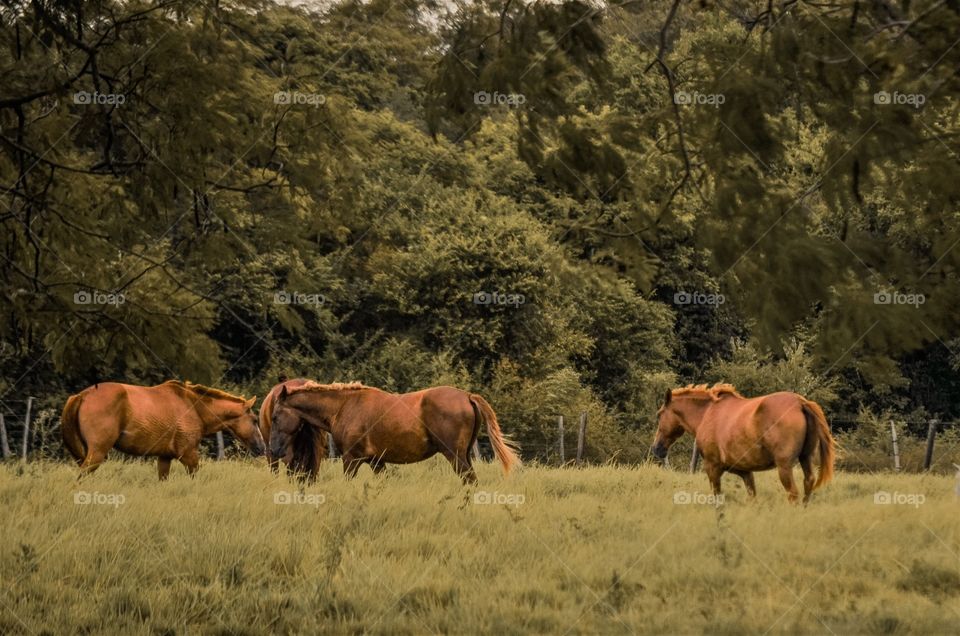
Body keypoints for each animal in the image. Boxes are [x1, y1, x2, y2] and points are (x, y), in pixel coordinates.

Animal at [61, 380, 263, 479]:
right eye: (254, 420)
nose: (262, 447)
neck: (194, 407)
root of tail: (82, 395)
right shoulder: (189, 456)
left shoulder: (165, 458)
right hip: (96, 454)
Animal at [269, 381, 520, 483]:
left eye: (275, 417)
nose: (274, 450)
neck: (344, 406)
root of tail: (467, 396)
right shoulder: (376, 462)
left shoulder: (351, 459)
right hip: (464, 454)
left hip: (455, 456)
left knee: (470, 480)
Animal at [651, 383, 835, 503]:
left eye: (659, 414)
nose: (656, 449)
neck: (707, 414)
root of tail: (800, 403)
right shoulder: (745, 472)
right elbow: (752, 497)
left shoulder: (712, 468)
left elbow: (717, 499)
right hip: (805, 459)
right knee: (808, 485)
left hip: (784, 466)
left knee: (793, 494)